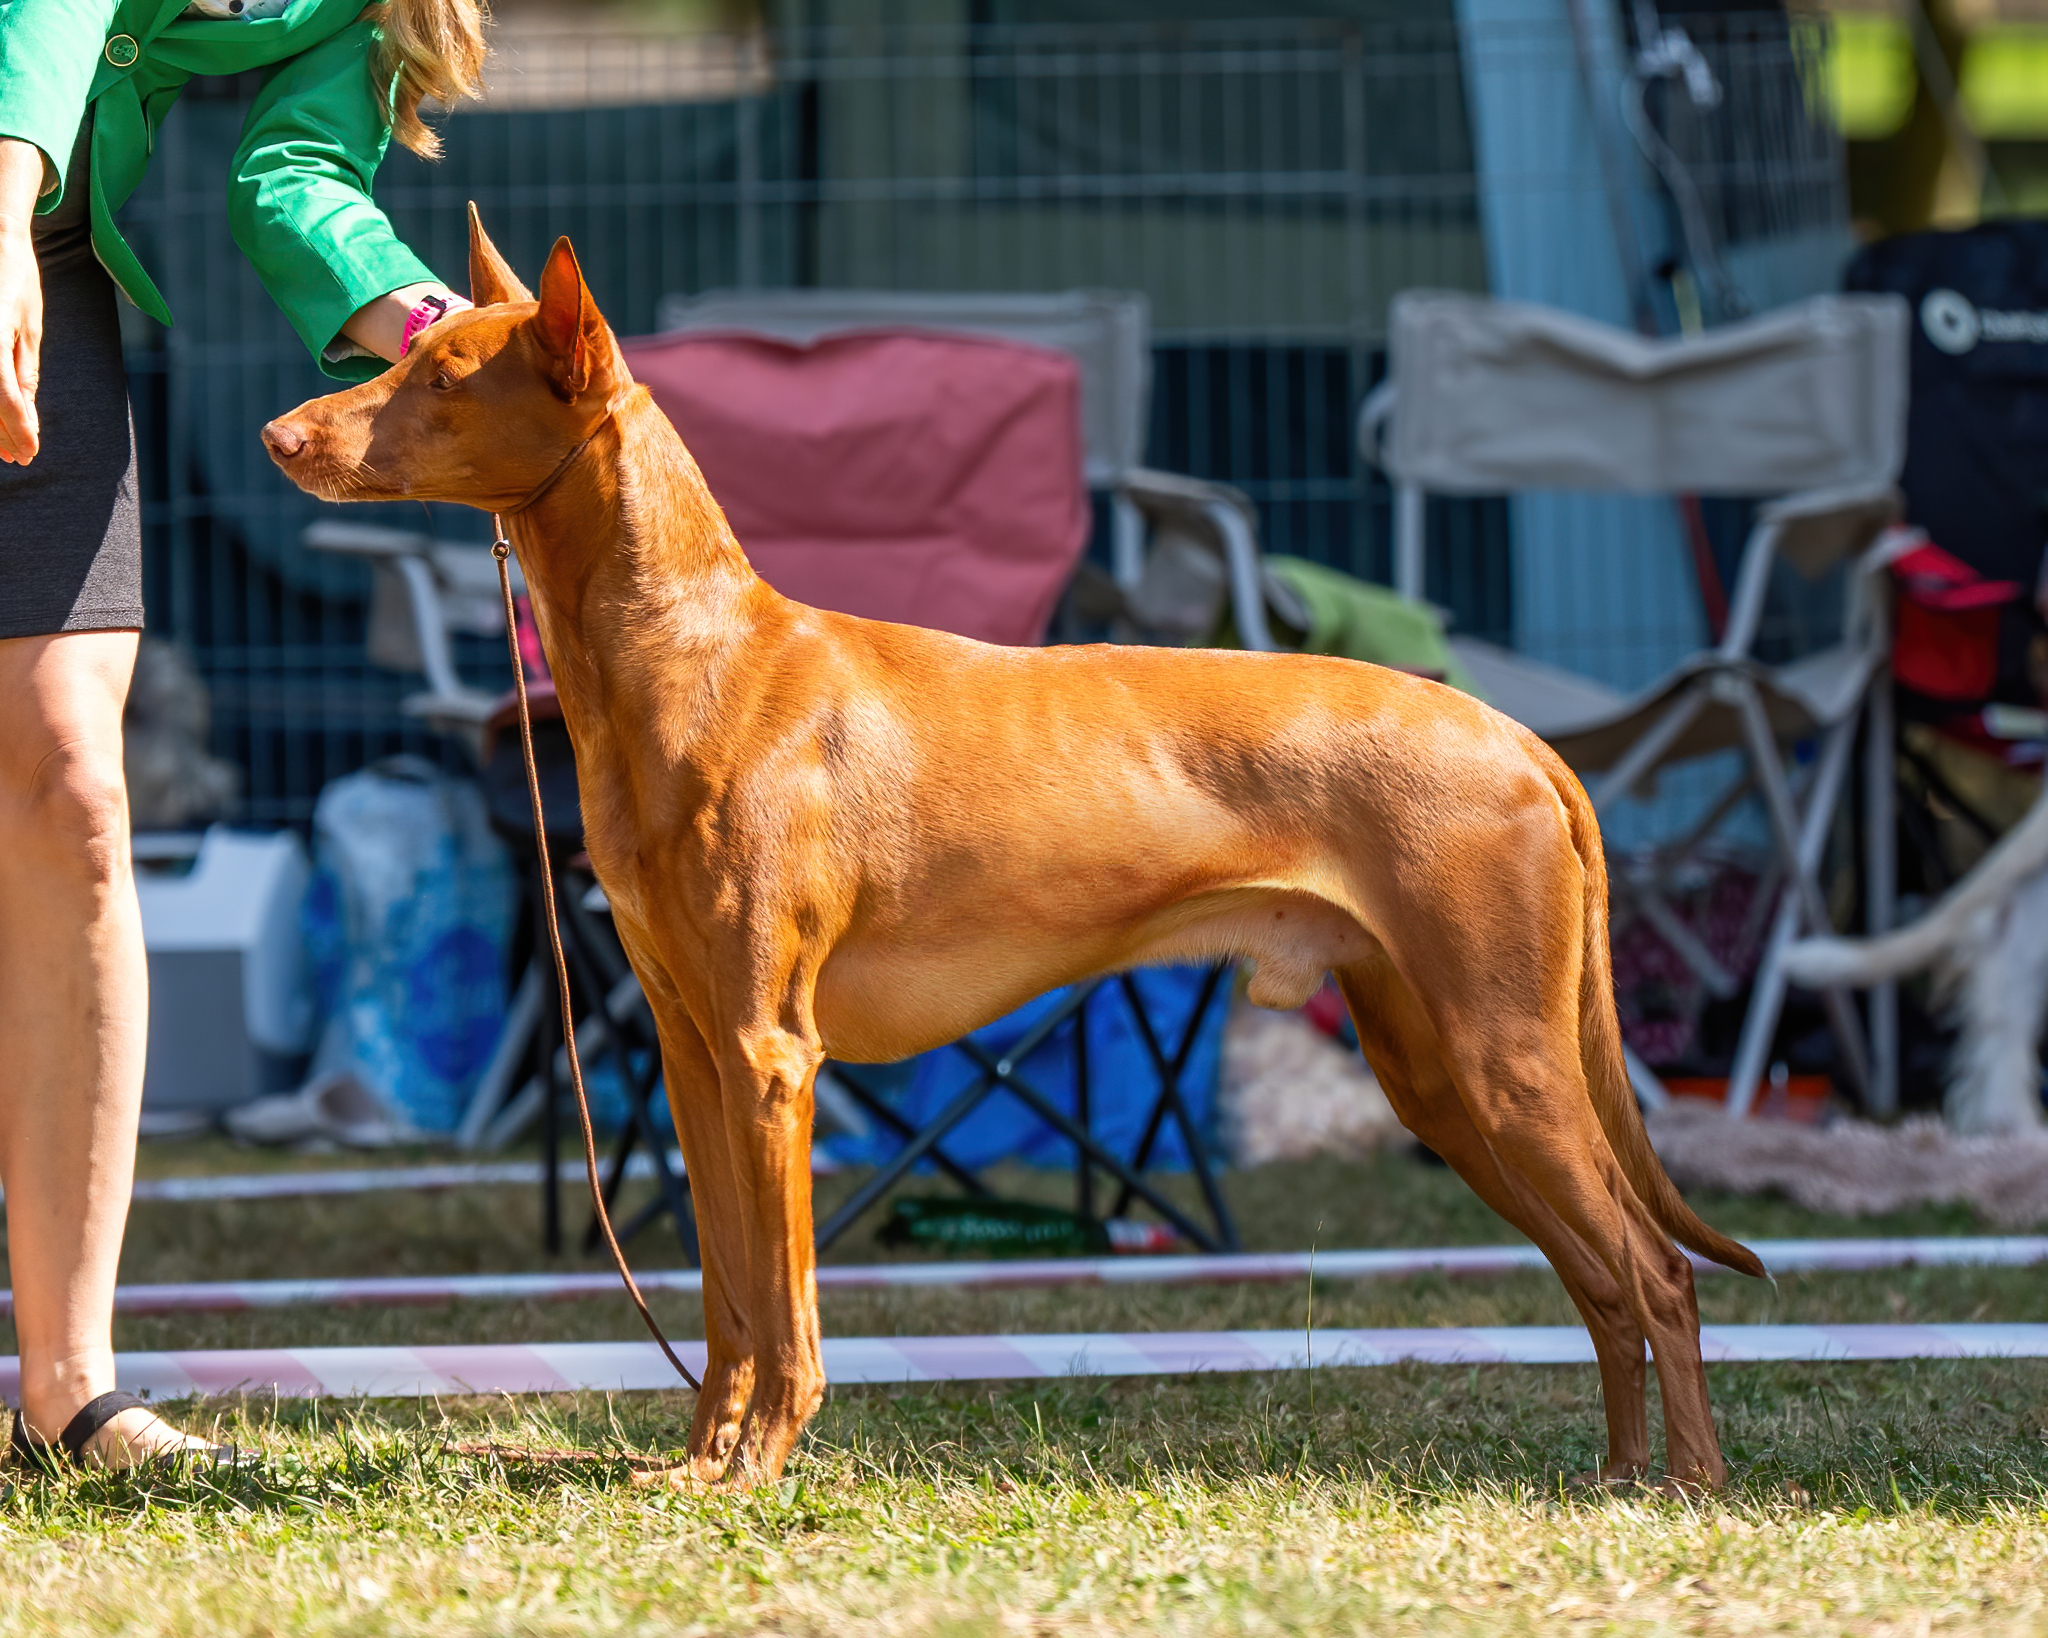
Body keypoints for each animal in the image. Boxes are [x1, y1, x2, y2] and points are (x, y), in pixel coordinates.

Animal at [260, 210, 1761, 1490]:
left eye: (446, 377)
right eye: (406, 357)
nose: (279, 434)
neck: (689, 656)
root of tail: (1518, 735)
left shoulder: (769, 1054)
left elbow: (786, 1313)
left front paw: (759, 1467)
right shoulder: (691, 1054)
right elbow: (730, 1299)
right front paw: (701, 1467)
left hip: (1506, 1062)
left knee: (1655, 1272)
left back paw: (1687, 1485)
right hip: (1441, 1081)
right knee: (1600, 1281)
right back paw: (1619, 1477)